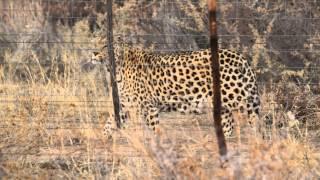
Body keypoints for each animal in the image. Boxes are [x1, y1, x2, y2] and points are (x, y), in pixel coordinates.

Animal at [90, 44, 260, 137]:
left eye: (105, 47)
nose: (93, 53)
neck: (115, 68)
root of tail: (239, 56)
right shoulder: (124, 106)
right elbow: (109, 123)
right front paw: (103, 138)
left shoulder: (148, 108)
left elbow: (154, 129)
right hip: (223, 104)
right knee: (229, 124)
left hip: (239, 97)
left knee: (254, 118)